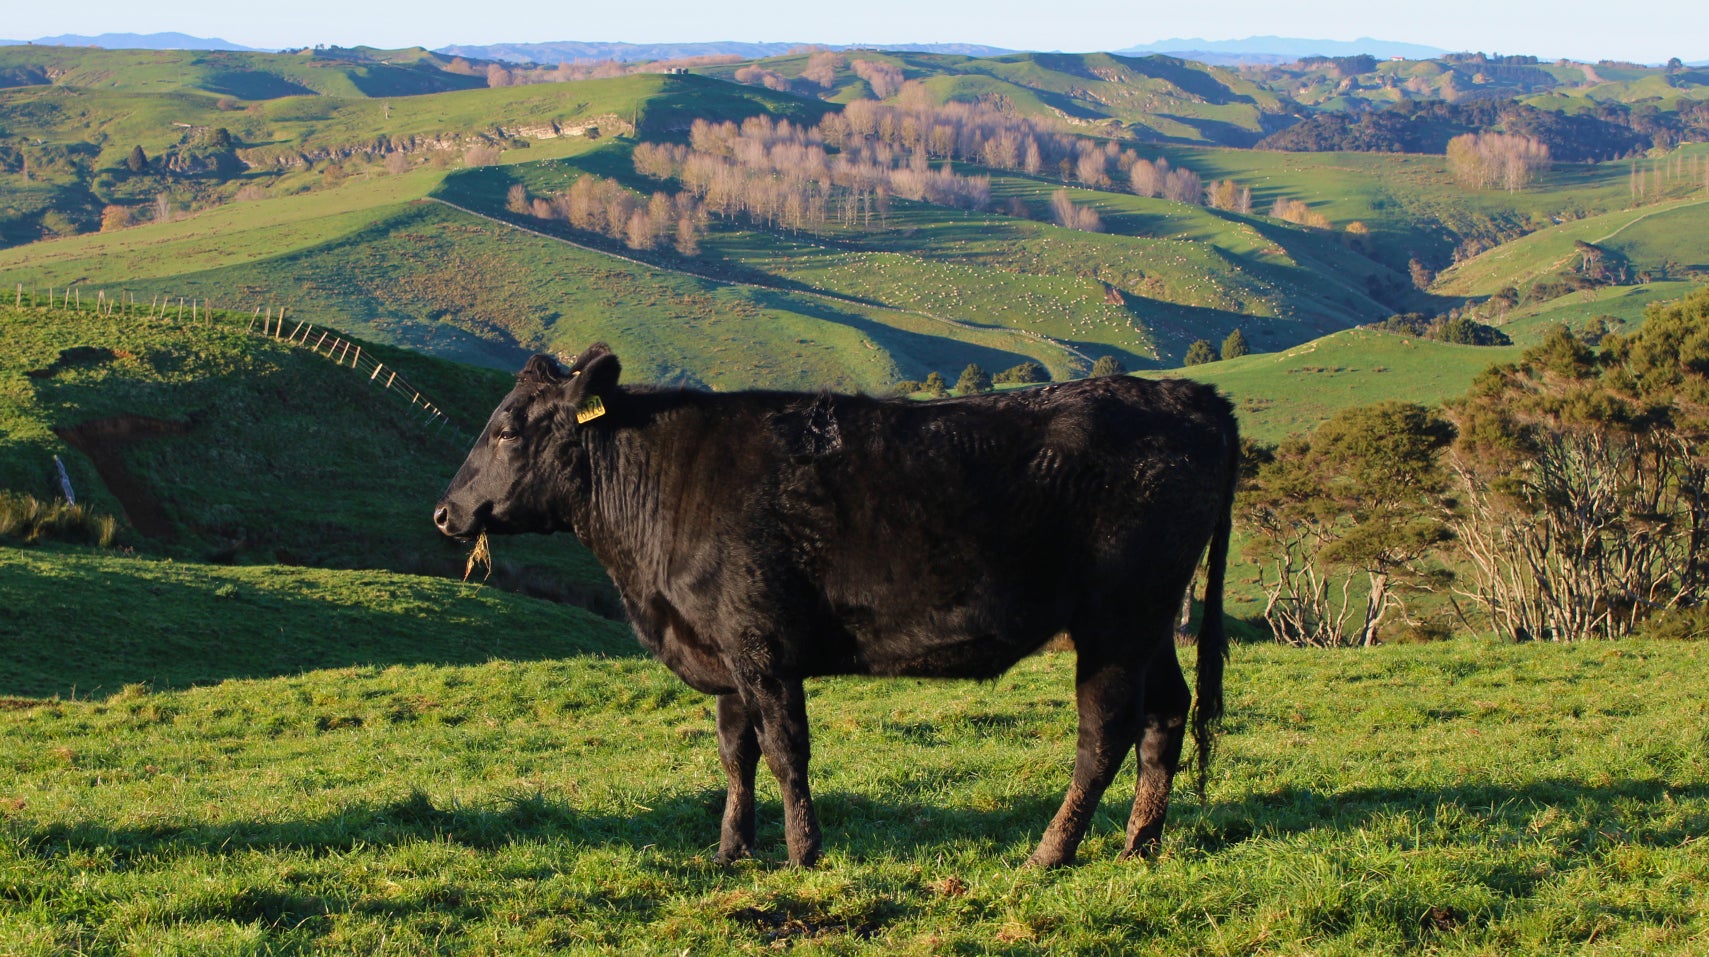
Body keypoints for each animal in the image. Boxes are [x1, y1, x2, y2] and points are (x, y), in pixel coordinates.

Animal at [437, 345, 1244, 868]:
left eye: (506, 429)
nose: (447, 513)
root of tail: (1193, 395)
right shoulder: (723, 651)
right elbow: (735, 753)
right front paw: (730, 851)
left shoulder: (762, 645)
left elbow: (785, 749)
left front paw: (803, 852)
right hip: (1151, 624)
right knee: (1165, 716)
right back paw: (1140, 845)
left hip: (1115, 620)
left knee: (1104, 733)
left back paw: (1050, 851)